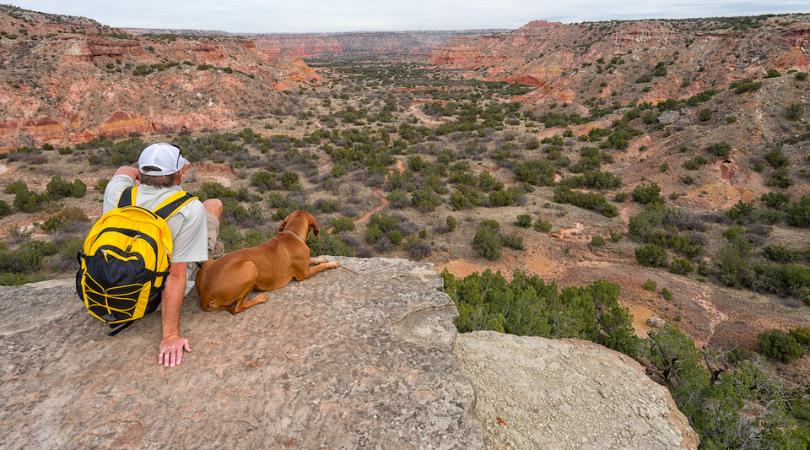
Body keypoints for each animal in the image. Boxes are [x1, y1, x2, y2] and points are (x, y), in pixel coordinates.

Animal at [196, 210, 340, 312]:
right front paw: (332, 263)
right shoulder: (304, 274)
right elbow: (320, 267)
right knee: (237, 308)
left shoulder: (305, 264)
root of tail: (205, 296)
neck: (292, 234)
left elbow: (314, 260)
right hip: (250, 266)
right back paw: (260, 298)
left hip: (207, 262)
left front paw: (322, 258)